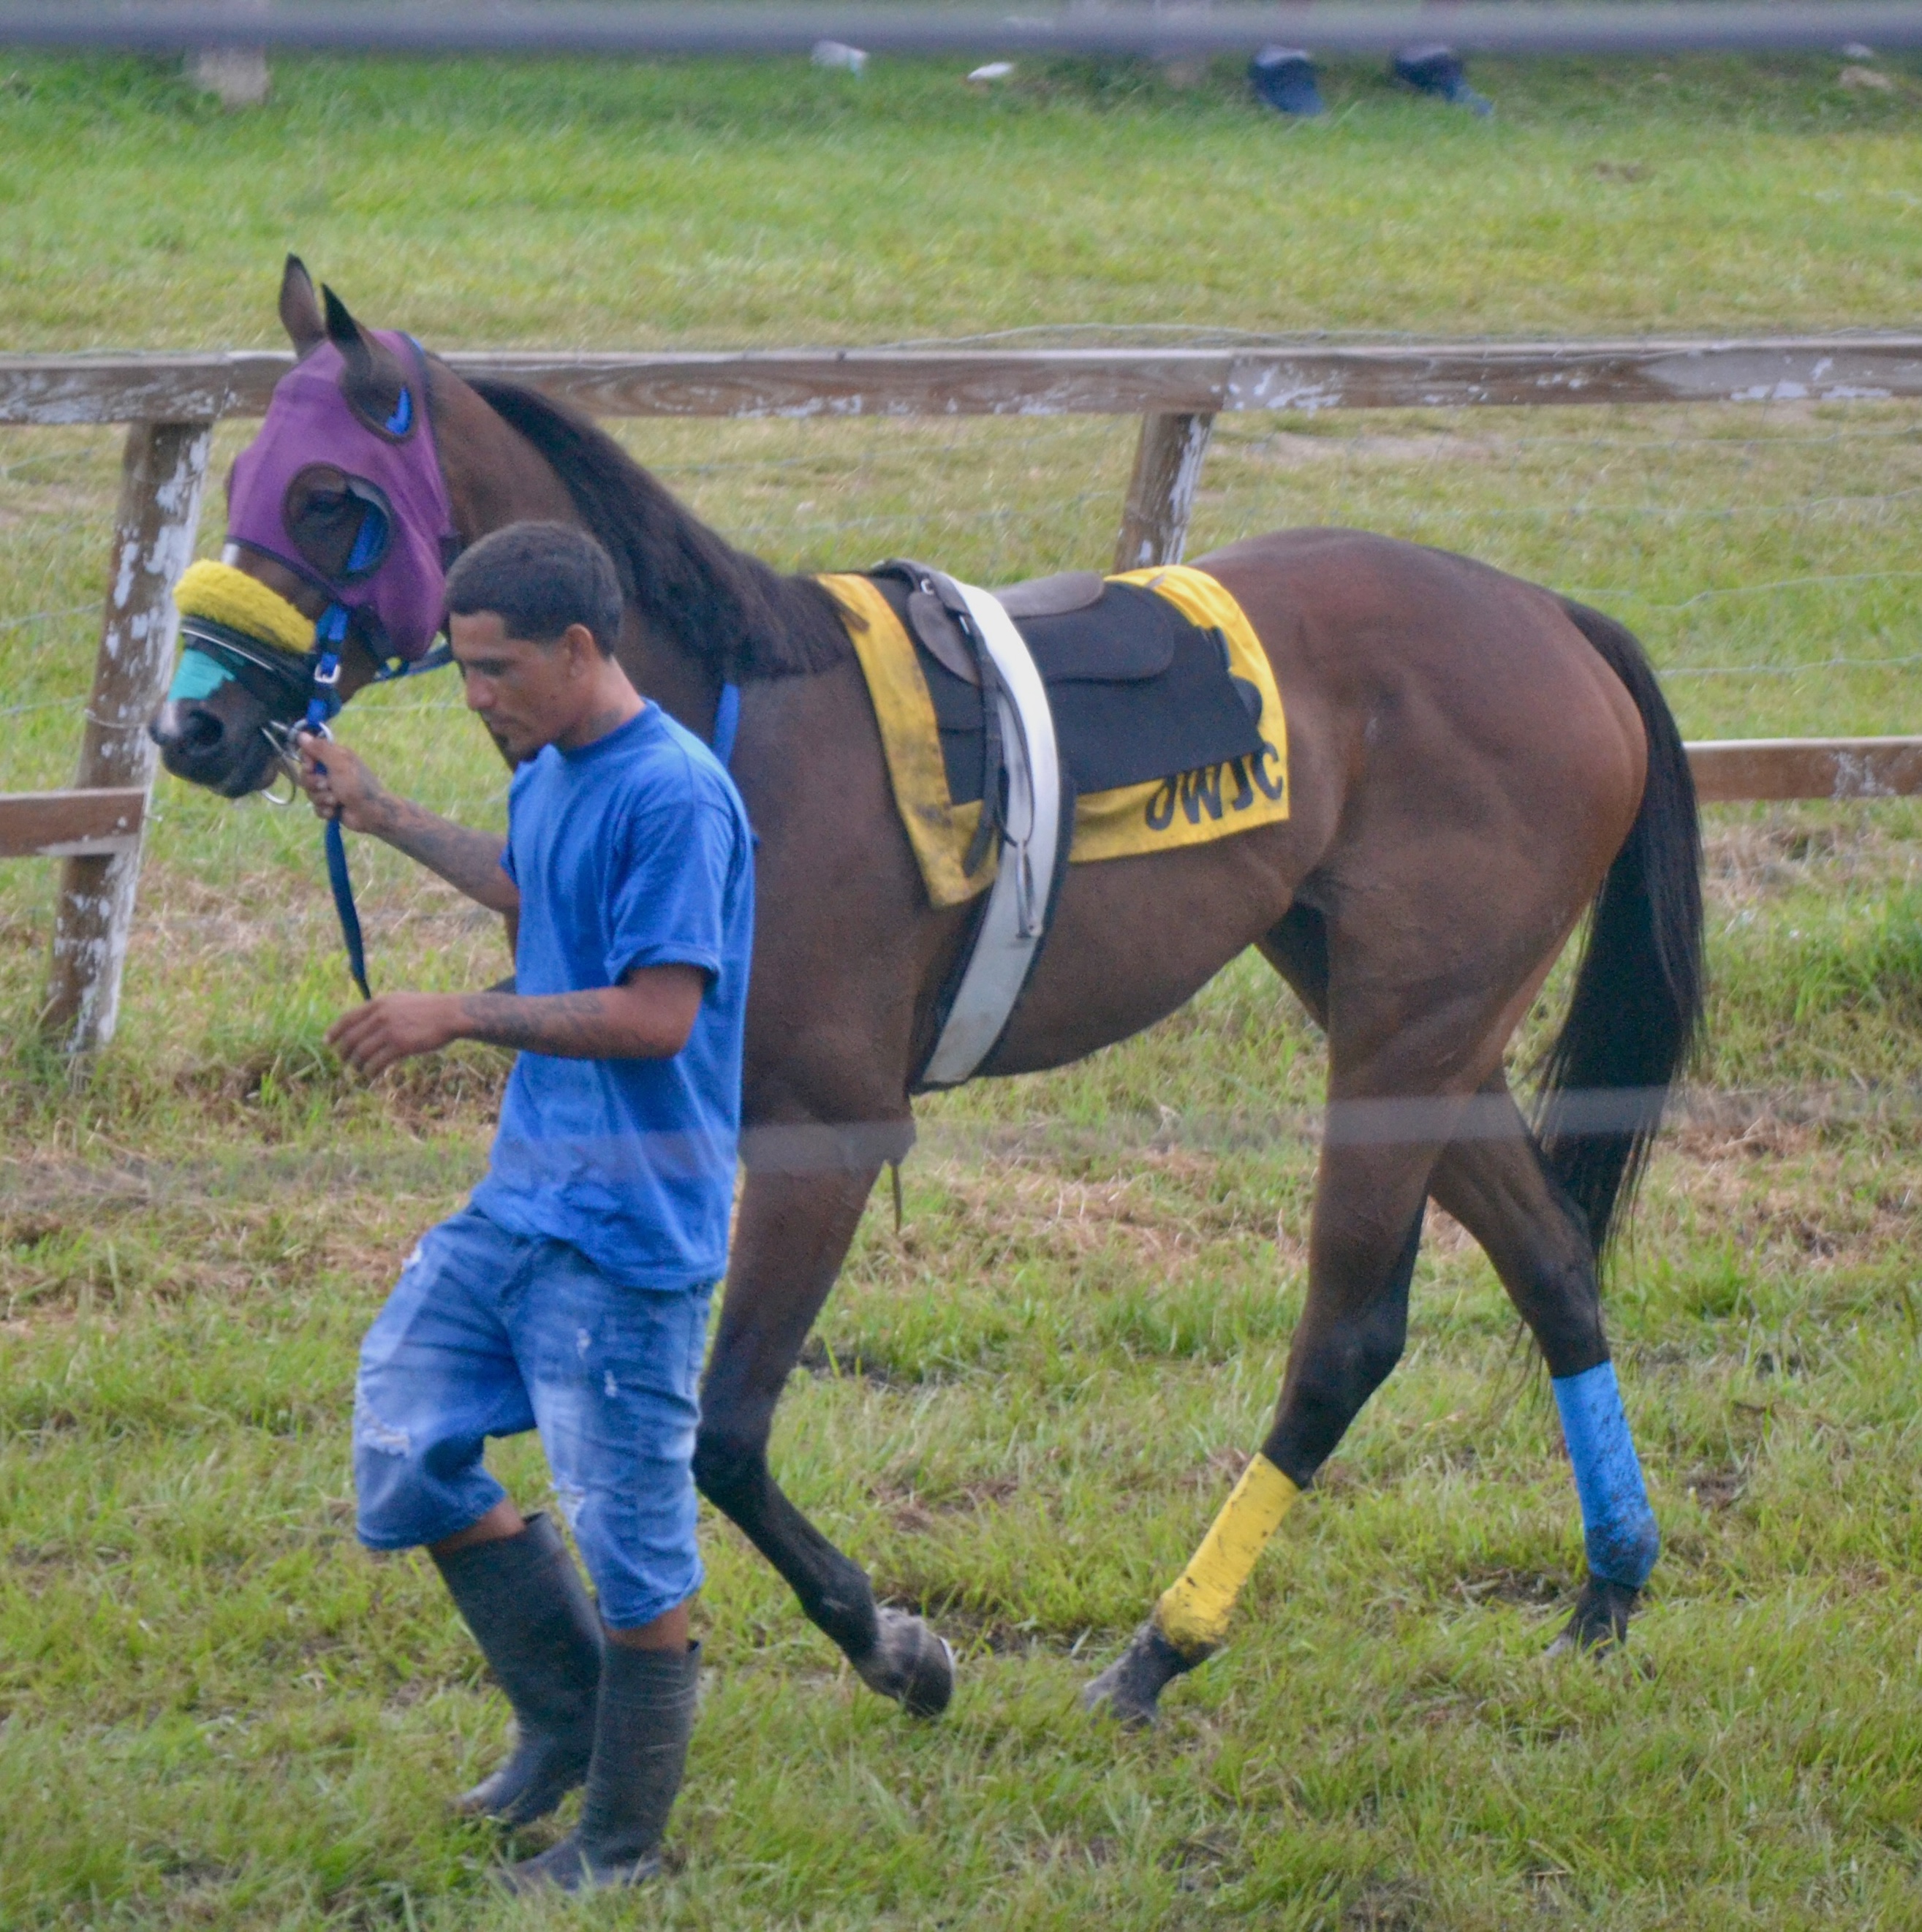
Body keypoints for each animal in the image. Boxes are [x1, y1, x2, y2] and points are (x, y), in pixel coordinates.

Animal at [157, 265, 1707, 1731]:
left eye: (326, 496)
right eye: (237, 485)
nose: (193, 723)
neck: (720, 721)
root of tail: (1550, 617)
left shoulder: (825, 1128)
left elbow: (722, 1430)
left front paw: (892, 1647)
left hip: (1408, 1026)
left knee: (1344, 1340)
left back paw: (1161, 1647)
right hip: (1400, 1012)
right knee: (1552, 1264)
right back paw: (1606, 1588)